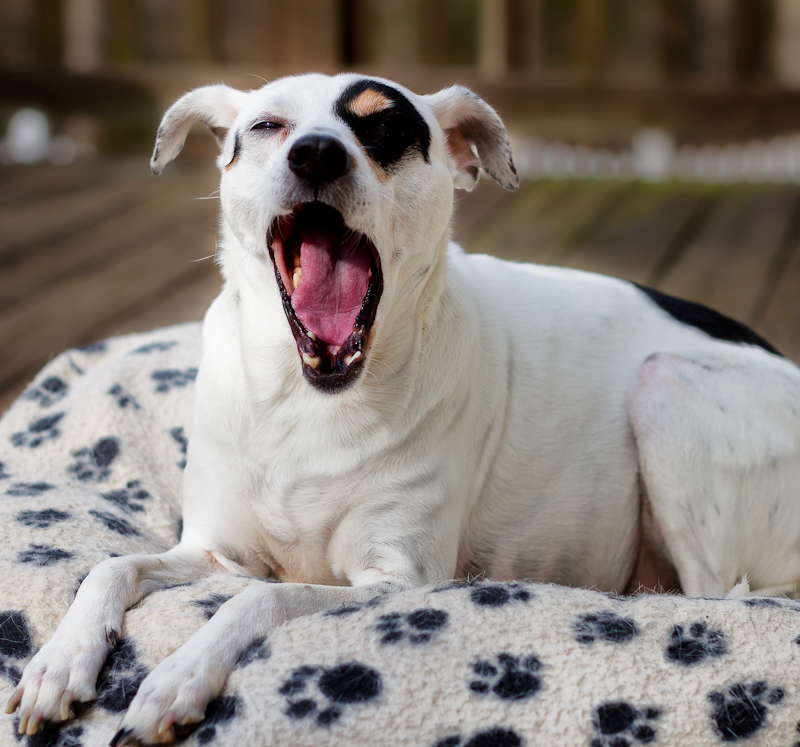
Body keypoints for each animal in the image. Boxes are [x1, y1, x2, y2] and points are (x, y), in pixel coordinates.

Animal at [6, 71, 800, 744]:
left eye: (386, 127)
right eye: (266, 126)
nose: (316, 152)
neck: (308, 401)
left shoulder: (394, 581)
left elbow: (257, 600)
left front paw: (177, 676)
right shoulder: (212, 550)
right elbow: (110, 567)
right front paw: (58, 663)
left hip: (665, 389)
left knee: (717, 599)